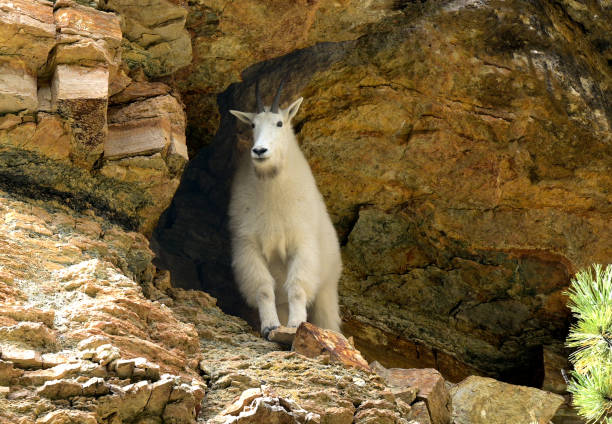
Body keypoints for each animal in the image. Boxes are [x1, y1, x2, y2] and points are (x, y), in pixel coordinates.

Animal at [230, 79, 344, 338]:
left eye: (280, 123)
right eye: (253, 124)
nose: (259, 151)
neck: (272, 191)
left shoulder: (301, 244)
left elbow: (297, 287)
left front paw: (295, 324)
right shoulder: (248, 245)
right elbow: (263, 289)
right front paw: (270, 326)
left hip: (328, 287)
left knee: (327, 317)